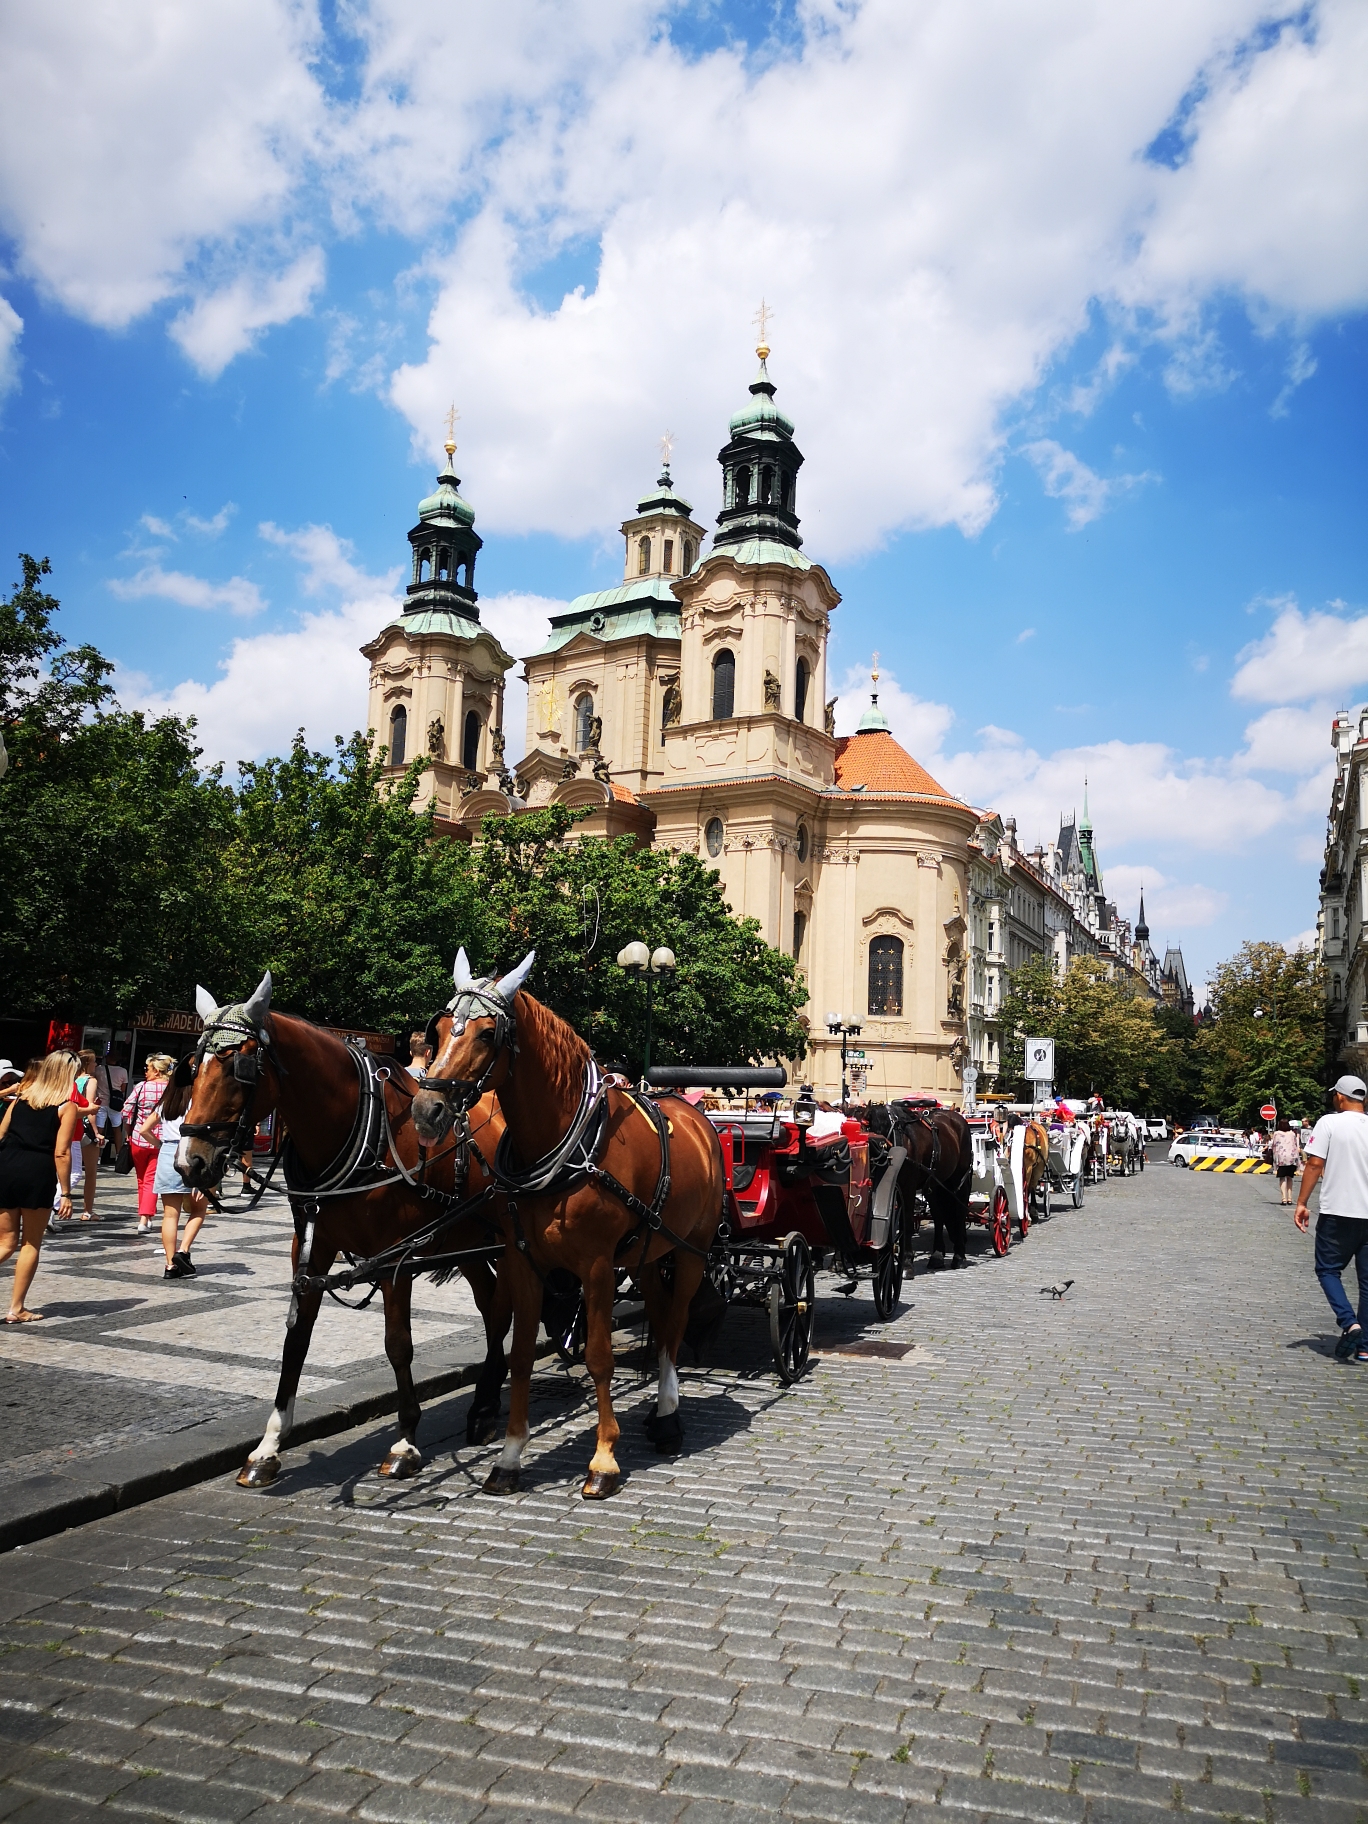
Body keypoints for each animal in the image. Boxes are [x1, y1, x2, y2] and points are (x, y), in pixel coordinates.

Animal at [172, 977, 514, 1488]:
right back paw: (485, 1405)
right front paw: (268, 1447)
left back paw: (488, 1405)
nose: (190, 1162)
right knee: (493, 1308)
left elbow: (398, 1345)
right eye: (194, 1067)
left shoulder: (395, 1260)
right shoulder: (310, 1249)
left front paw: (405, 1441)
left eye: (240, 1068)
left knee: (505, 1307)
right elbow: (297, 1338)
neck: (364, 1133)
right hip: (466, 1241)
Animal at [412, 955, 729, 1495]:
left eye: (487, 1033)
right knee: (660, 1312)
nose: (426, 1109)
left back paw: (668, 1414)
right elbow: (519, 1355)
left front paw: (603, 1459)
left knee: (677, 1321)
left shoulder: (596, 1266)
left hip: (691, 1250)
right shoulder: (522, 1261)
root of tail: (694, 1113)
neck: (566, 1144)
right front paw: (509, 1456)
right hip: (647, 1250)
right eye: (437, 1030)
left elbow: (600, 1356)